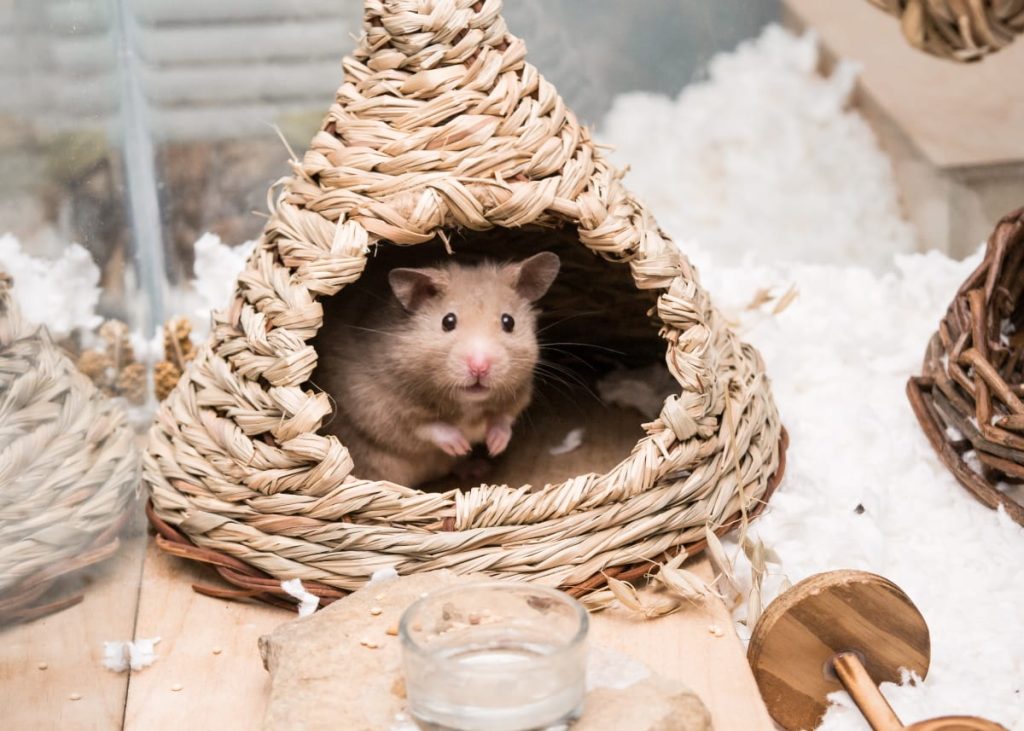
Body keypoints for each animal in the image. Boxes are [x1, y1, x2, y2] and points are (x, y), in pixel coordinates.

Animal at [313, 251, 561, 487]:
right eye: (448, 321)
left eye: (508, 322)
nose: (479, 367)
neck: (468, 405)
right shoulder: (377, 405)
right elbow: (426, 426)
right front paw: (460, 445)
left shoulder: (520, 393)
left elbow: (504, 417)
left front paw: (495, 446)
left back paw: (477, 467)